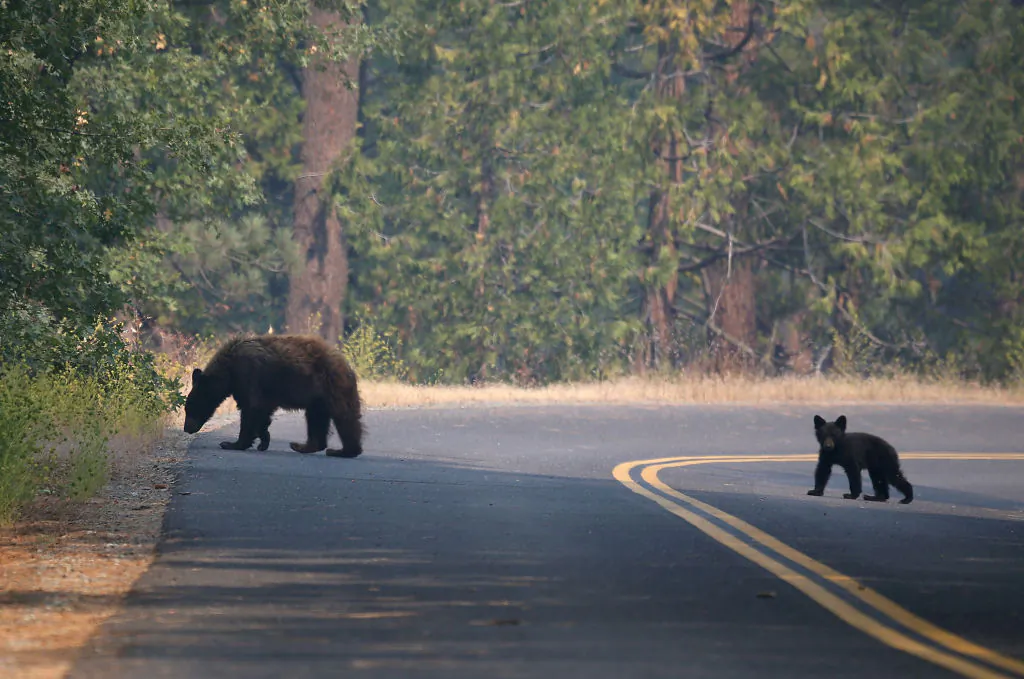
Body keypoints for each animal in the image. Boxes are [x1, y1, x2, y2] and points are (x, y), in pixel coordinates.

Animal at [182, 334, 363, 458]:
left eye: (190, 407)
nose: (186, 428)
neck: (229, 370)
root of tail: (346, 364)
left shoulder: (248, 375)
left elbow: (251, 408)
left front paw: (232, 443)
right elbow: (262, 412)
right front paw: (264, 440)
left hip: (333, 386)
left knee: (345, 417)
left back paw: (343, 450)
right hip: (318, 399)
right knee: (316, 418)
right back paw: (303, 446)